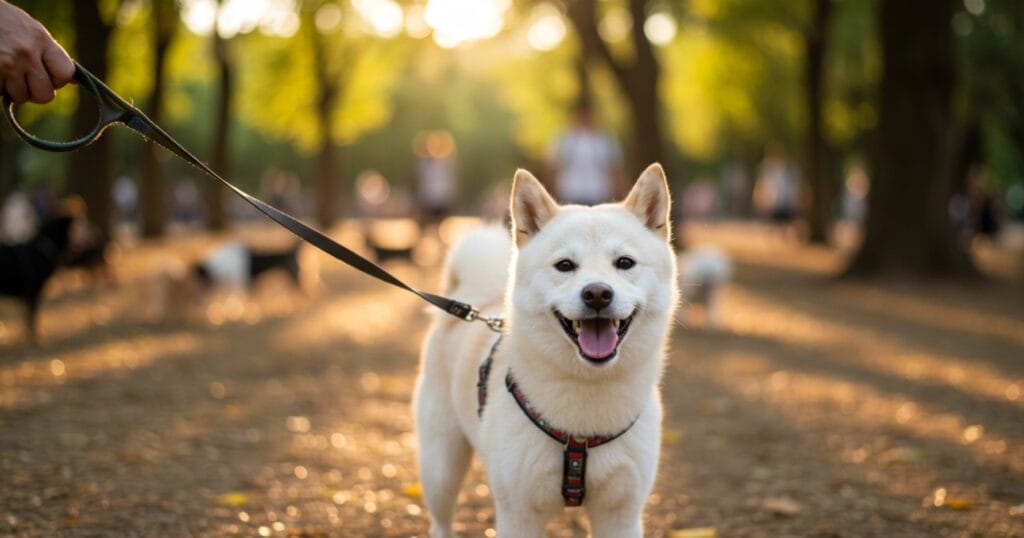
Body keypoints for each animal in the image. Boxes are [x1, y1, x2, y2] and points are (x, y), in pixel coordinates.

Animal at [411, 163, 675, 536]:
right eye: (565, 265)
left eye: (624, 262)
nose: (597, 293)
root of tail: (474, 296)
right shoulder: (519, 513)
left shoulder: (621, 512)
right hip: (441, 467)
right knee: (440, 521)